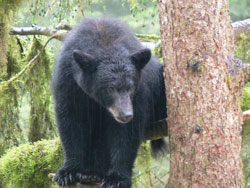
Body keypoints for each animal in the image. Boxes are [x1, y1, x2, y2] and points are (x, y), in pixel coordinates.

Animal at [52, 16, 167, 187]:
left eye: (130, 87)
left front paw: (118, 178)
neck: (106, 42)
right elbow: (70, 122)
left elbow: (127, 134)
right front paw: (68, 171)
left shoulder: (139, 92)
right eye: (110, 88)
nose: (126, 114)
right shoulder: (68, 81)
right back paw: (89, 174)